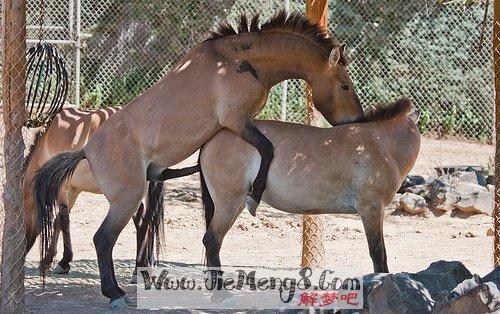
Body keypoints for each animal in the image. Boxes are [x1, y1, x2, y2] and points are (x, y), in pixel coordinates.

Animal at [34, 11, 364, 308]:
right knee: (103, 239)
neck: (239, 60)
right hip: (126, 199)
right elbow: (267, 148)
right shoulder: (237, 121)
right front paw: (254, 196)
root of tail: (87, 150)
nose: (356, 121)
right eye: (345, 85)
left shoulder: (234, 126)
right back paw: (114, 294)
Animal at [199, 98, 422, 274]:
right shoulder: (372, 209)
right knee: (212, 241)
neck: (380, 144)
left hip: (236, 204)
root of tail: (213, 139)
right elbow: (378, 253)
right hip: (228, 204)